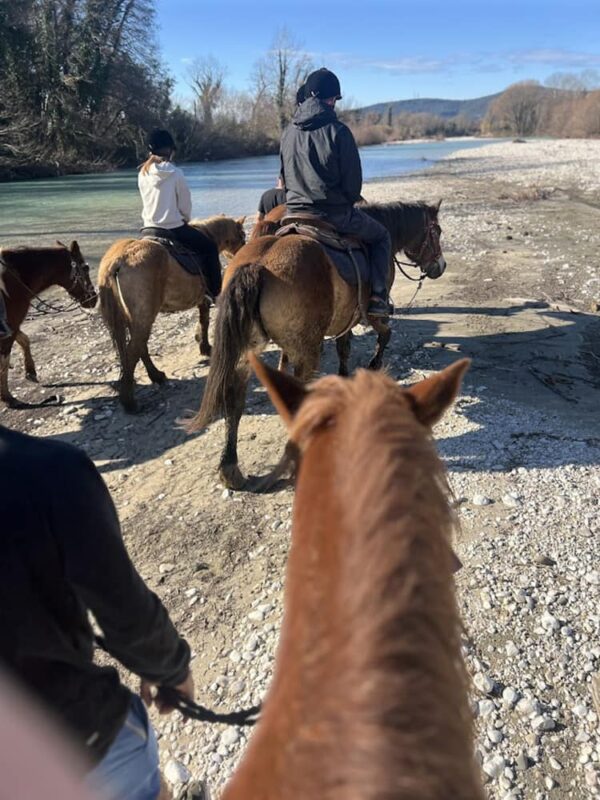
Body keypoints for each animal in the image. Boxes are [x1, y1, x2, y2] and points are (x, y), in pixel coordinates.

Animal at [0, 242, 97, 408]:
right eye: (85, 268)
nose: (94, 299)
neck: (14, 279)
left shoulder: (11, 326)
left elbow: (24, 340)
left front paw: (30, 371)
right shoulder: (10, 328)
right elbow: (4, 363)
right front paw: (7, 398)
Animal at [98, 215, 246, 412]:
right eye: (242, 235)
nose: (244, 251)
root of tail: (118, 260)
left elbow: (203, 320)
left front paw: (203, 345)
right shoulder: (204, 298)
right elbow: (205, 321)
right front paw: (206, 347)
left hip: (134, 320)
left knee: (139, 348)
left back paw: (156, 376)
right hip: (144, 318)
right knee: (133, 351)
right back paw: (130, 401)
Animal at [187, 200, 446, 489]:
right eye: (436, 231)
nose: (440, 266)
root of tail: (258, 265)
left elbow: (343, 348)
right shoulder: (369, 314)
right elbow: (381, 336)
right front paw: (373, 365)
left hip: (246, 352)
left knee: (234, 401)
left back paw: (230, 468)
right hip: (307, 352)